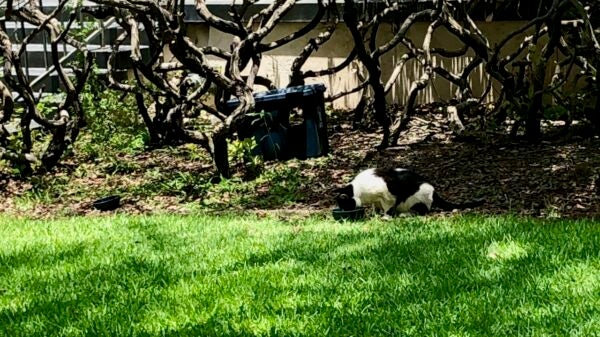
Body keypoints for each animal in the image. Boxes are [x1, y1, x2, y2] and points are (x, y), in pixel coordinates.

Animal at [336, 167, 486, 217]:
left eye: (345, 206)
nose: (343, 211)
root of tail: (434, 191)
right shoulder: (376, 200)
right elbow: (376, 207)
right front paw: (375, 214)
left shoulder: (388, 196)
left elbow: (388, 208)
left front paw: (385, 217)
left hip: (418, 196)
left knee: (423, 211)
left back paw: (405, 215)